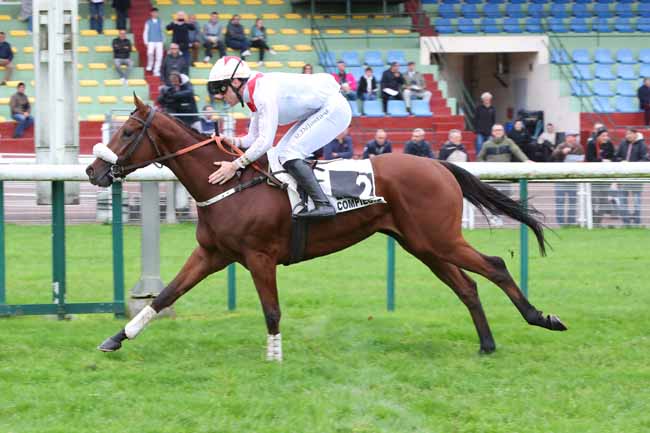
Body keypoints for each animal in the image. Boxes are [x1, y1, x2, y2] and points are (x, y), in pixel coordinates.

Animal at [87, 95, 568, 362]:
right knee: (467, 285)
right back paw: (486, 344)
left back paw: (542, 318)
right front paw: (115, 339)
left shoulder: (260, 257)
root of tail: (437, 164)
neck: (228, 185)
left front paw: (275, 356)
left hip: (440, 238)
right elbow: (165, 294)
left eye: (127, 131)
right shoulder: (212, 254)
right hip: (423, 245)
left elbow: (272, 311)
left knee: (494, 266)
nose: (93, 170)